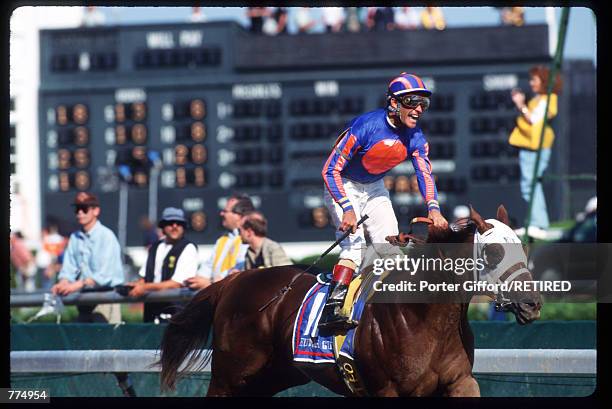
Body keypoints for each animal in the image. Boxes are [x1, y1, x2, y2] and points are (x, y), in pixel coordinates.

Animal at [160, 206, 544, 396]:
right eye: (493, 251)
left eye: (524, 248)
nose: (532, 303)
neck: (425, 318)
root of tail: (233, 280)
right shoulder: (388, 390)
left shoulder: (460, 381)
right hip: (229, 376)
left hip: (271, 377)